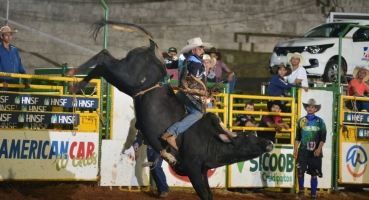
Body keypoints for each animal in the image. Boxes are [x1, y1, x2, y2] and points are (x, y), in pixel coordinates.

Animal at [67, 20, 272, 200]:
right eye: (248, 136)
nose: (269, 143)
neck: (211, 139)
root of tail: (152, 49)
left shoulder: (202, 170)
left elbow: (208, 194)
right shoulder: (192, 168)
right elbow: (203, 194)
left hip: (124, 82)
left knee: (102, 65)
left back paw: (76, 84)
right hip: (127, 76)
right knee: (103, 56)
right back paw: (74, 76)